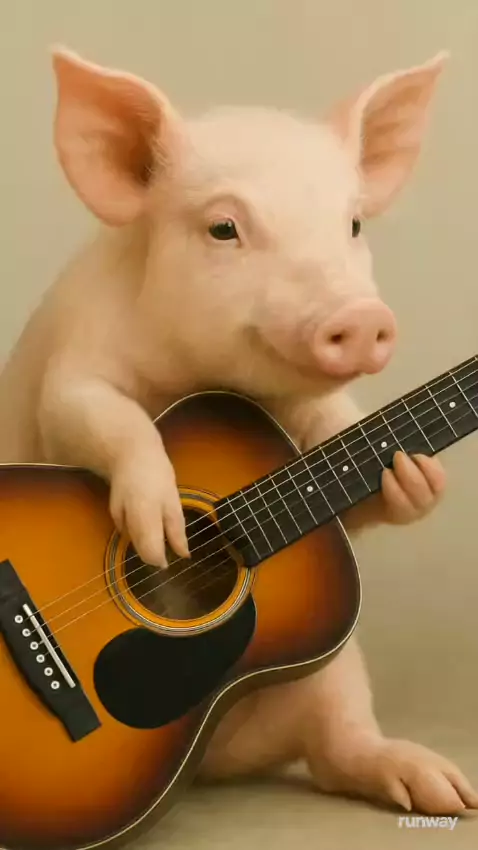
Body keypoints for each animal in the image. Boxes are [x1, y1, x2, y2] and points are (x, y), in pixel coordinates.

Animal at [0, 44, 476, 818]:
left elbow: (352, 463)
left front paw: (418, 480)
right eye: (224, 228)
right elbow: (96, 415)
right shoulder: (75, 366)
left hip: (334, 669)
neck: (210, 378)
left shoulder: (314, 421)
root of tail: (212, 768)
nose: (362, 318)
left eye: (353, 226)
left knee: (337, 749)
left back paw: (442, 790)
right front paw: (163, 530)